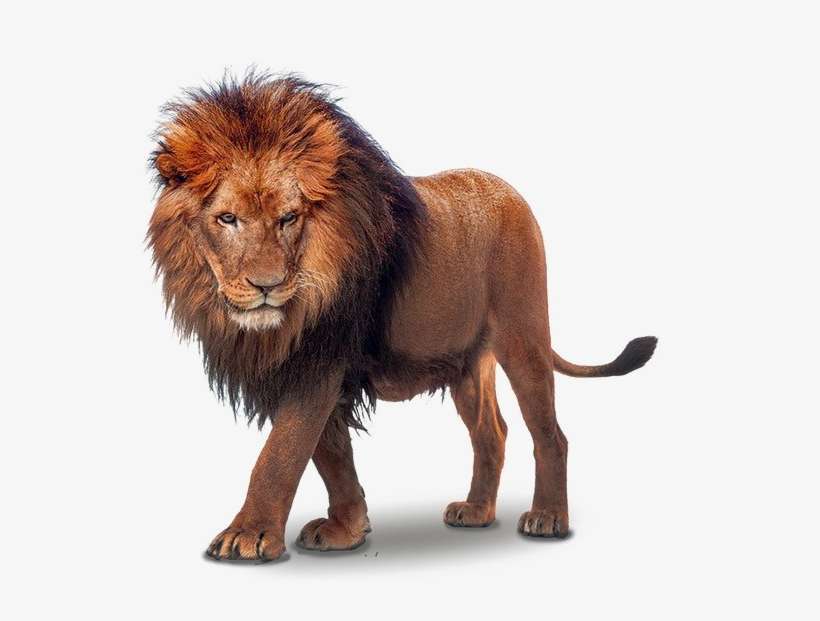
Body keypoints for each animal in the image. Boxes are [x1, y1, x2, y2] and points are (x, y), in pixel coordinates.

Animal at [148, 74, 657, 562]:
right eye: (227, 218)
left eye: (289, 218)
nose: (266, 286)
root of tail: (509, 191)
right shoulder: (307, 368)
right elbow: (331, 455)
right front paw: (347, 530)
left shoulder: (319, 361)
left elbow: (281, 454)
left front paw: (248, 535)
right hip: (466, 364)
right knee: (492, 433)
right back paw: (476, 511)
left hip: (523, 335)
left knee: (550, 433)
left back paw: (548, 517)